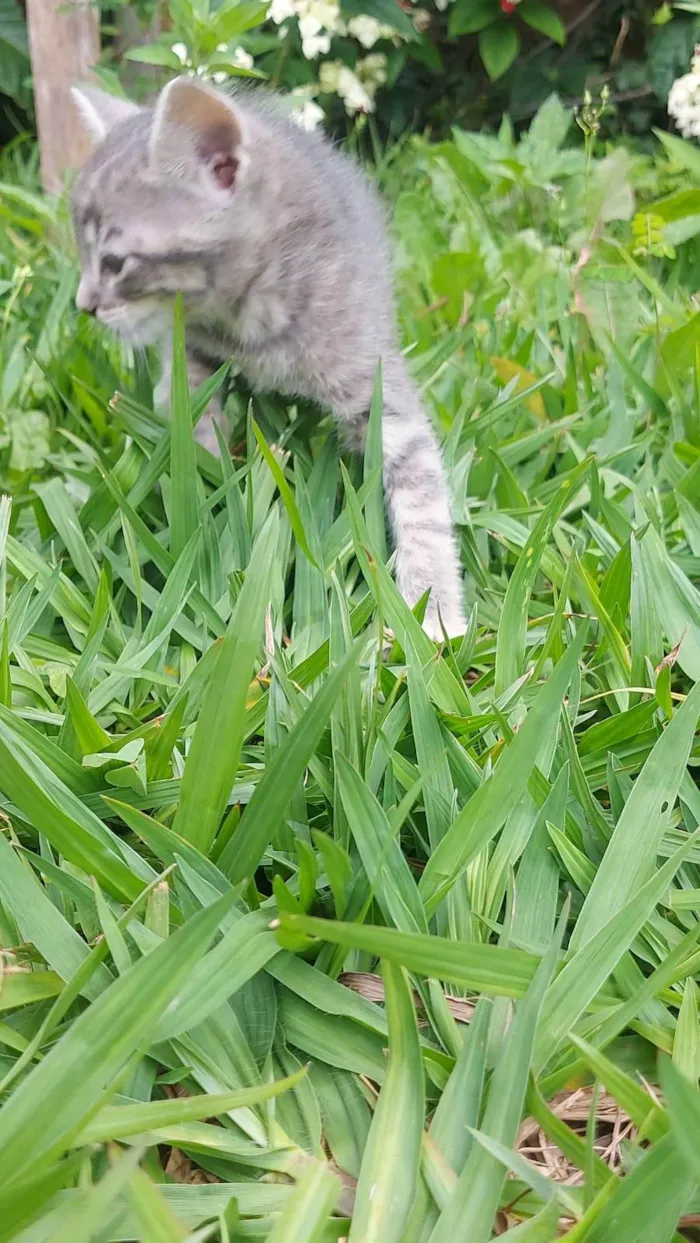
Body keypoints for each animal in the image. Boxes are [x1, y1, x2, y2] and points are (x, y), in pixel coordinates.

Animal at [71, 76, 465, 636]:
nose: (84, 305)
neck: (248, 317)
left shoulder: (374, 379)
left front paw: (432, 612)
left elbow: (422, 499)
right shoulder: (194, 355)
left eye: (114, 262)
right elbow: (195, 426)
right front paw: (211, 488)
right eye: (83, 256)